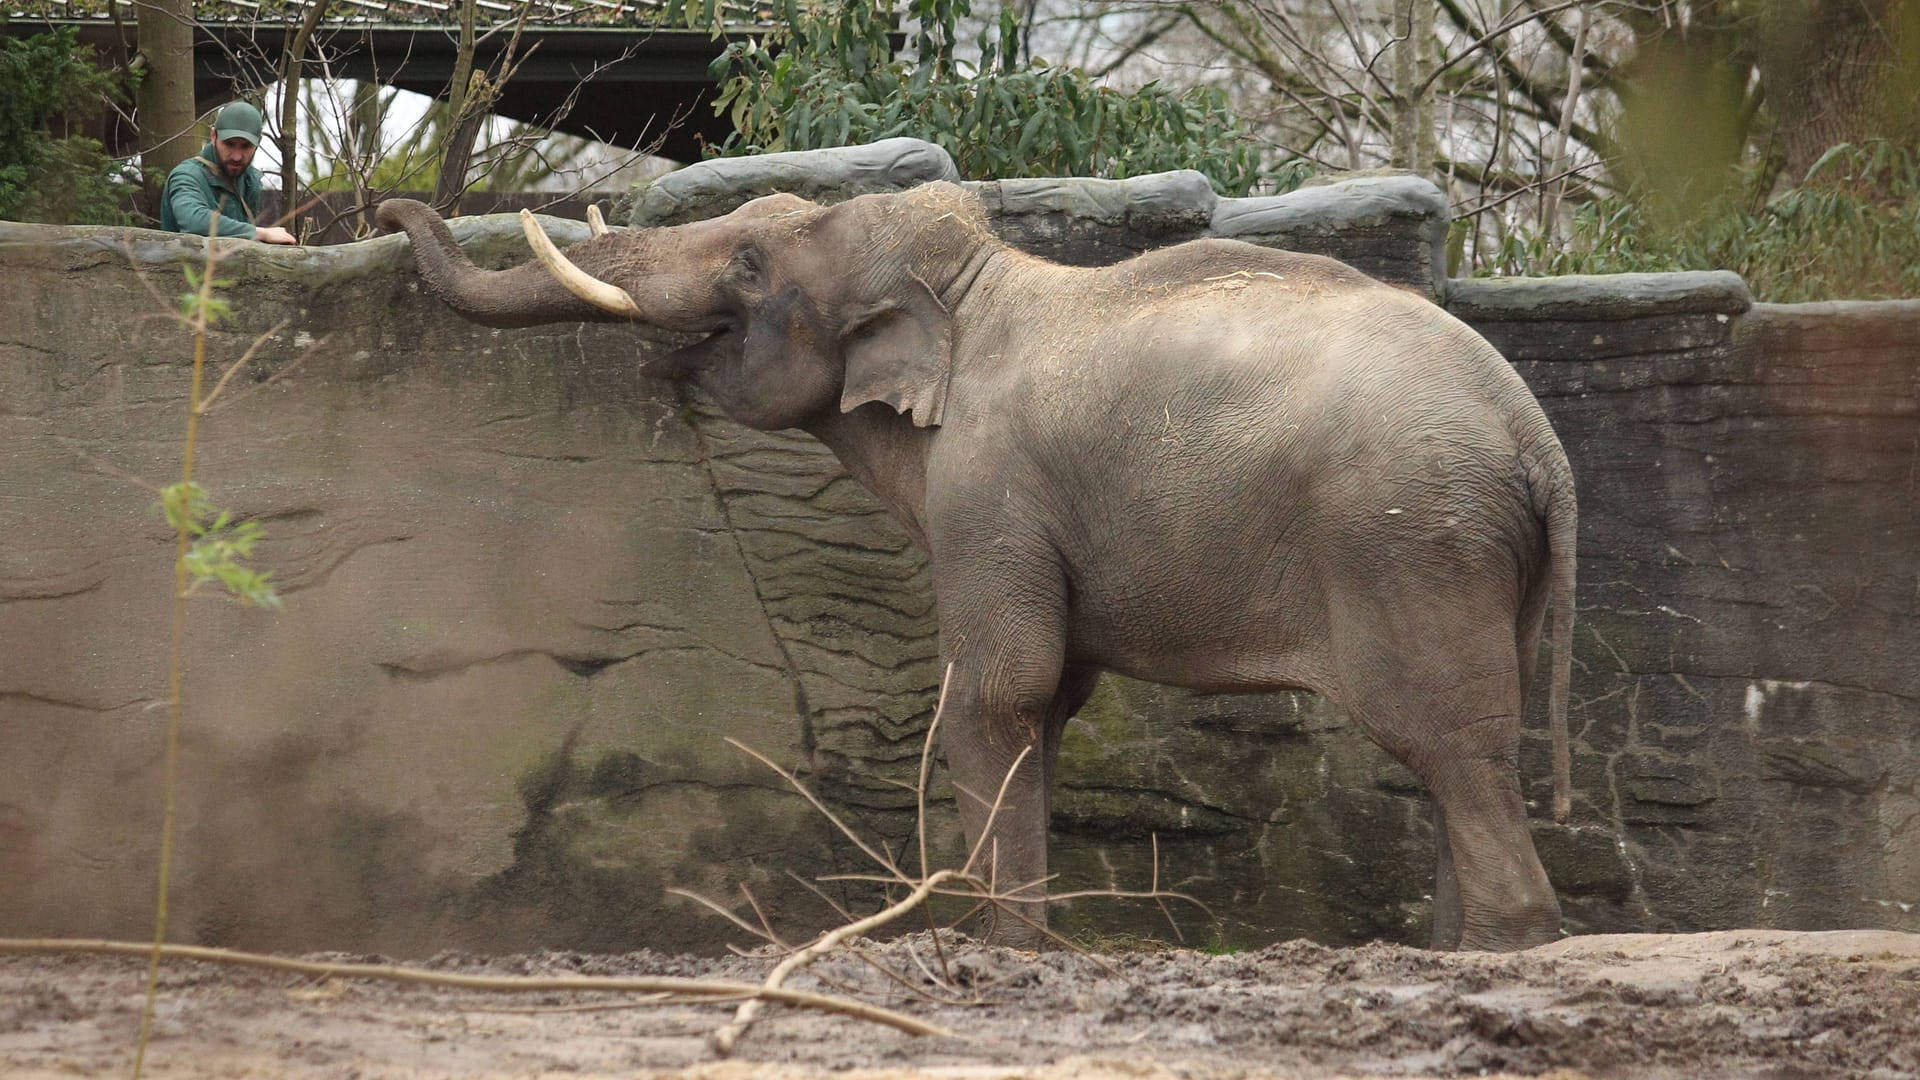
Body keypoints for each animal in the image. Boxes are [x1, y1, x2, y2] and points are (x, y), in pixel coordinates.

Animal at [374, 184, 1574, 949]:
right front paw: (1024, 936)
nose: (390, 213)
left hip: (1410, 540)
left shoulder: (989, 491)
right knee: (1478, 747)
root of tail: (1537, 441)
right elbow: (1048, 700)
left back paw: (1503, 948)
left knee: (1444, 739)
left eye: (750, 268)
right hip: (1478, 556)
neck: (970, 286)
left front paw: (1004, 944)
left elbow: (1000, 689)